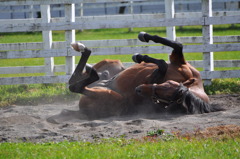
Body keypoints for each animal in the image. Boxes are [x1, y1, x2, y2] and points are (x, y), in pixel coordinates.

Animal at [68, 32, 222, 119]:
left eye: (166, 97)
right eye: (167, 84)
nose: (139, 89)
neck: (195, 85)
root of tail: (84, 110)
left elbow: (162, 64)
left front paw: (141, 56)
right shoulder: (179, 61)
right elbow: (177, 45)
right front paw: (143, 41)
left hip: (109, 95)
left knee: (75, 86)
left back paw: (87, 58)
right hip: (112, 64)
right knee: (76, 79)